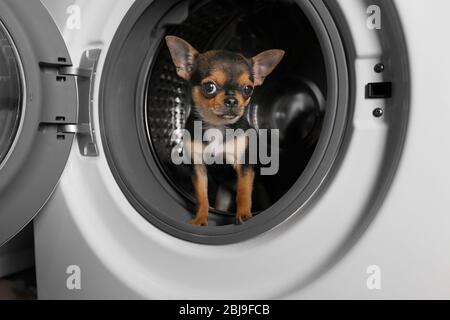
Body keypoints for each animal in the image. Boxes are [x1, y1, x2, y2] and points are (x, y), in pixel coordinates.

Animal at [165, 35, 284, 226]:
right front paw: (200, 218)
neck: (217, 126)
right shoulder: (198, 168)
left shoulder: (244, 166)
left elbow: (243, 192)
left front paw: (244, 216)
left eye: (248, 89)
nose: (232, 100)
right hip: (224, 193)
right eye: (209, 87)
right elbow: (202, 196)